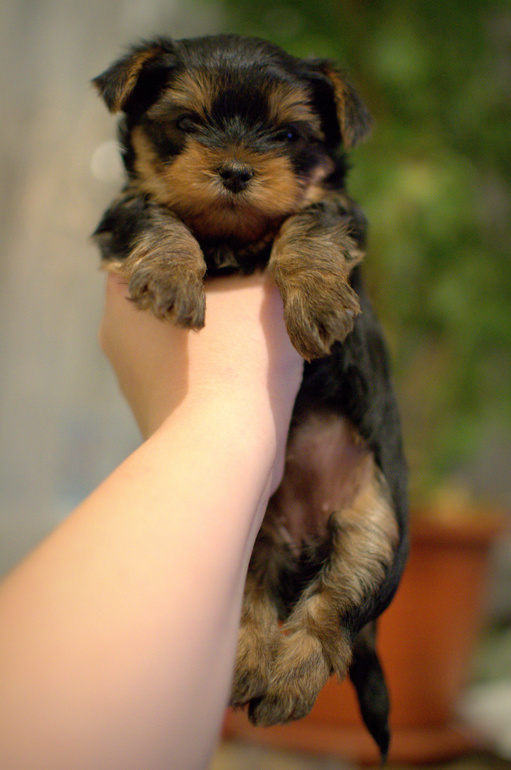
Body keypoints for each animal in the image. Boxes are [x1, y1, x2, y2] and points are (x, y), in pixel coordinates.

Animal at [93, 34, 408, 761]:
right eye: (186, 123)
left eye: (287, 135)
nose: (236, 170)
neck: (233, 237)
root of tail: (303, 538)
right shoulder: (124, 210)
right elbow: (155, 214)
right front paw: (171, 275)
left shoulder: (339, 212)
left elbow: (310, 221)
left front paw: (317, 301)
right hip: (251, 539)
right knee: (254, 604)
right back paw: (246, 665)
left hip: (377, 527)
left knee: (334, 615)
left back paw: (289, 680)